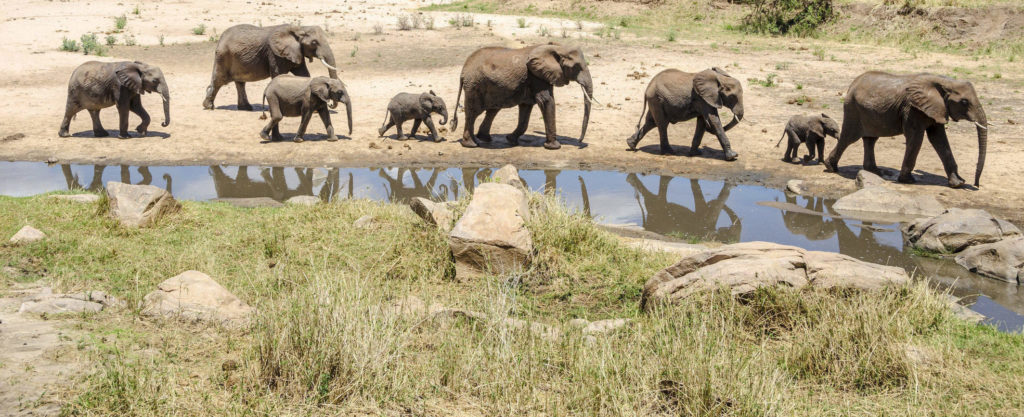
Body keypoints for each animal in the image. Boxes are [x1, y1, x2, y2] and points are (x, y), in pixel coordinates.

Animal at [200, 23, 339, 110]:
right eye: (314, 43)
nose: (331, 105)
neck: (299, 28)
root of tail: (220, 39)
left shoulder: (296, 51)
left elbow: (303, 74)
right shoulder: (274, 53)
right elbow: (279, 74)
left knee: (240, 83)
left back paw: (246, 108)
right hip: (223, 56)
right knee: (219, 80)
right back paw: (208, 106)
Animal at [452, 42, 598, 149]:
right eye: (577, 67)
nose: (579, 142)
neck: (557, 47)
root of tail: (463, 71)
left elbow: (526, 106)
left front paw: (511, 140)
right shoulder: (536, 76)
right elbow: (546, 101)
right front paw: (554, 147)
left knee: (492, 110)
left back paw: (484, 139)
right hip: (474, 86)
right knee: (473, 113)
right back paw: (471, 144)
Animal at [819, 71, 987, 187]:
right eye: (964, 102)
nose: (976, 184)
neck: (944, 81)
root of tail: (852, 84)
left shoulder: (936, 108)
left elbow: (939, 139)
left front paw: (958, 183)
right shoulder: (912, 109)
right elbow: (916, 137)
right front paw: (908, 180)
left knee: (871, 139)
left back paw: (875, 171)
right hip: (852, 108)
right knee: (849, 137)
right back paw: (831, 167)